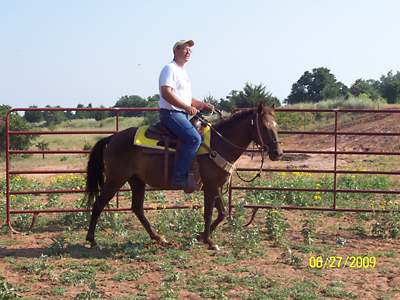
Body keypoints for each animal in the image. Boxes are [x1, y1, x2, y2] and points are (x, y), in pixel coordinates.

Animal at [86, 103, 282, 251]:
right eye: (264, 127)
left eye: (277, 126)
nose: (277, 153)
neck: (219, 143)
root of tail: (112, 138)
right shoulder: (210, 186)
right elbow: (209, 213)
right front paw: (210, 242)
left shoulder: (217, 185)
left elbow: (222, 213)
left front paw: (201, 236)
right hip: (115, 180)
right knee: (98, 205)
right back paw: (92, 241)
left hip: (137, 181)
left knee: (137, 208)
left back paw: (159, 238)